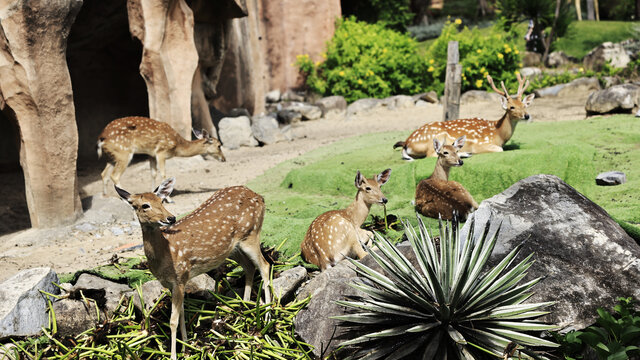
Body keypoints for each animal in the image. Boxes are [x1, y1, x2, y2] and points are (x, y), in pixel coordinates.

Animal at [95, 116, 225, 197]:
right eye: (219, 145)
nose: (224, 159)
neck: (177, 145)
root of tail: (101, 138)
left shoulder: (151, 154)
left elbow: (153, 173)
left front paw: (154, 193)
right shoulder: (161, 152)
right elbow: (163, 174)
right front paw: (168, 198)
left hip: (112, 157)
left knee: (104, 174)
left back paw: (105, 195)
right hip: (123, 153)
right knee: (114, 175)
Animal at [115, 179, 270, 360]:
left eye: (161, 201)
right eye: (145, 205)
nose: (171, 217)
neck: (166, 254)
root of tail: (259, 197)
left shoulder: (180, 276)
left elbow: (173, 320)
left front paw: (174, 355)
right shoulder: (174, 283)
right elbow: (181, 314)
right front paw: (185, 348)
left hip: (251, 233)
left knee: (265, 266)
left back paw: (268, 317)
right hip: (233, 249)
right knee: (249, 267)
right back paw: (244, 309)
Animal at [396, 73, 536, 160]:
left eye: (524, 105)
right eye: (511, 107)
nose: (527, 116)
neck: (498, 133)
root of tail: (407, 143)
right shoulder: (480, 144)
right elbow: (500, 149)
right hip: (436, 137)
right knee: (432, 154)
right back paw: (464, 153)